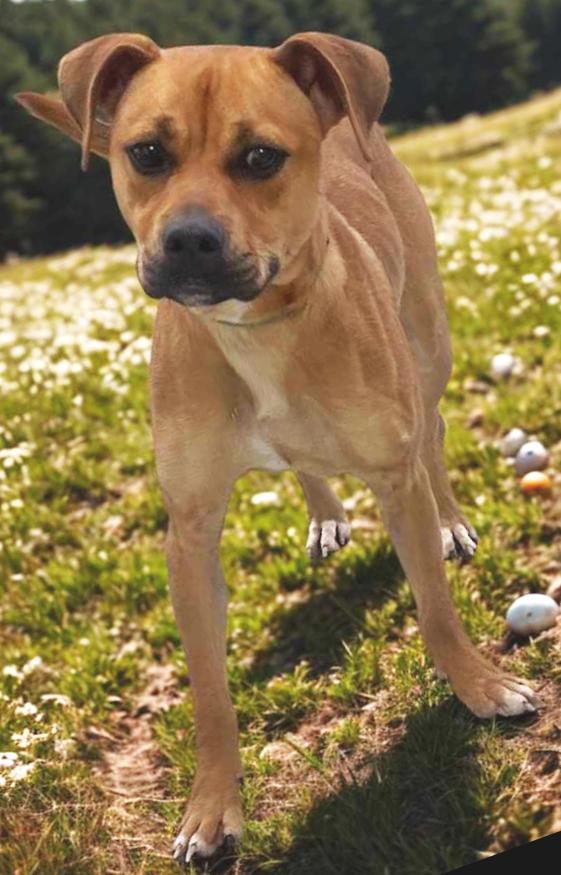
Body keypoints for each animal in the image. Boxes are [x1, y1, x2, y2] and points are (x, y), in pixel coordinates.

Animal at [17, 31, 541, 866]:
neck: (255, 327)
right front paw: (211, 804)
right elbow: (208, 691)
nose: (188, 239)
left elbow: (433, 607)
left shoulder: (393, 476)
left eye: (261, 156)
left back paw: (451, 519)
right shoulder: (189, 530)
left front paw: (478, 685)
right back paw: (324, 512)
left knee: (431, 432)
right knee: (308, 465)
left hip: (427, 343)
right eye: (146, 152)